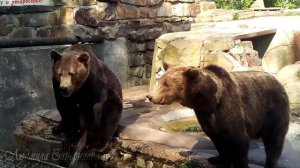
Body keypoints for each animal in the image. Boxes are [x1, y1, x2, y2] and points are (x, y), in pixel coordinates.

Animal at [146, 63, 290, 167]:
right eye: (160, 81)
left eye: (166, 84)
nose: (150, 96)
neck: (209, 101)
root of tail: (278, 81)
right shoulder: (206, 117)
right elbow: (218, 139)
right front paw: (217, 159)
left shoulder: (230, 109)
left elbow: (239, 140)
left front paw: (238, 163)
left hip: (273, 110)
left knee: (274, 140)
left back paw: (271, 163)